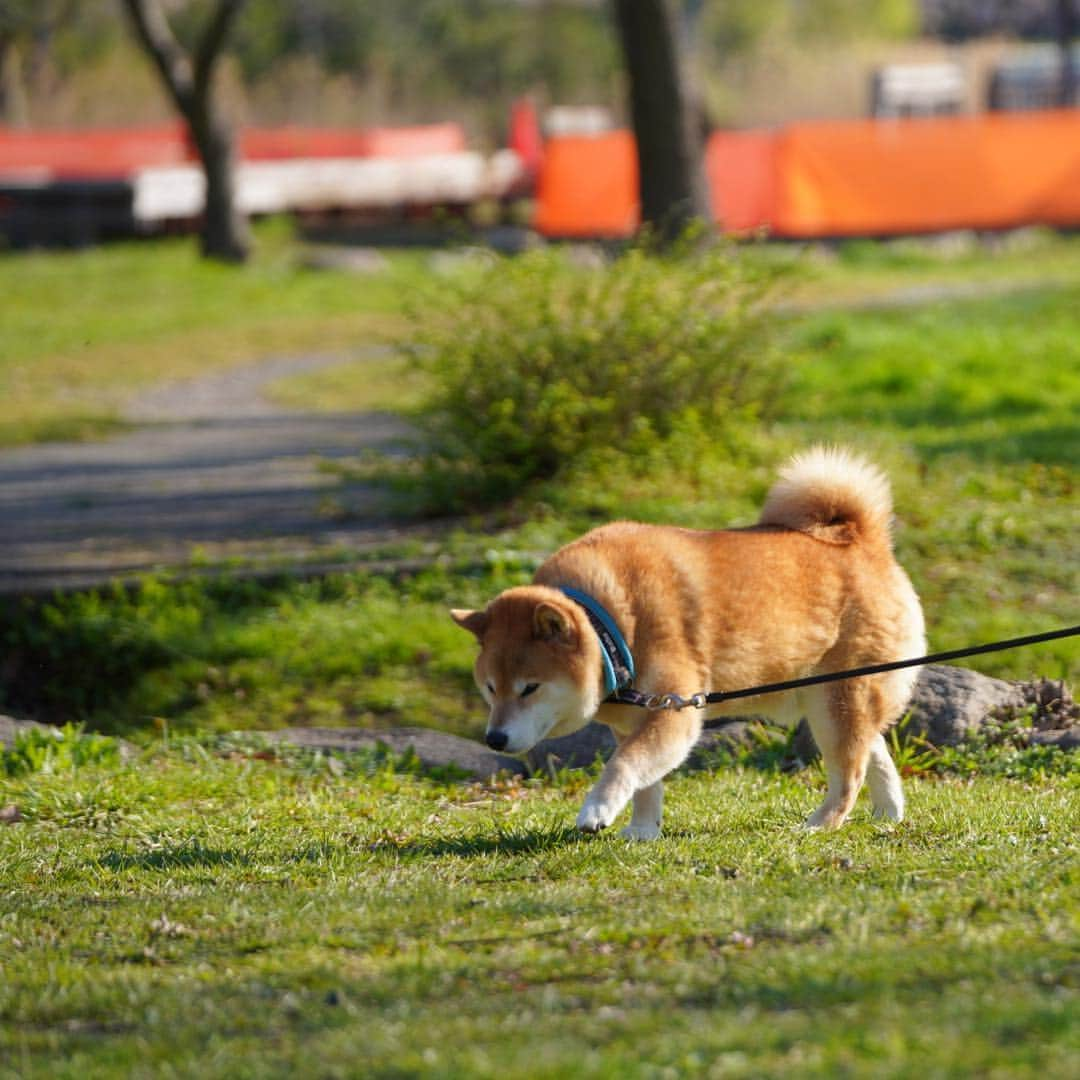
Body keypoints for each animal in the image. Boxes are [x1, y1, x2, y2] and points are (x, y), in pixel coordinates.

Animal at [451, 442, 924, 838]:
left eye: (529, 688)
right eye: (490, 689)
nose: (494, 739)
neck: (613, 626)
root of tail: (863, 541)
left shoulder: (672, 711)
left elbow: (623, 765)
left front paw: (596, 810)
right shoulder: (635, 720)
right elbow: (646, 783)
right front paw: (642, 831)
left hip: (837, 698)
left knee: (850, 773)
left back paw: (819, 825)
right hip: (828, 698)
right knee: (873, 749)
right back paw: (887, 813)